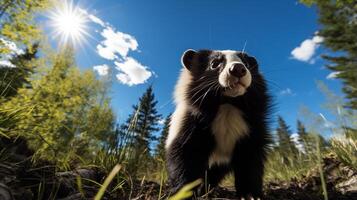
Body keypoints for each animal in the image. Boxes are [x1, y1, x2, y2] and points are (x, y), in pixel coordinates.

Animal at [165, 49, 272, 198]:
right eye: (214, 63)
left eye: (246, 63)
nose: (238, 69)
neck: (227, 104)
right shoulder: (188, 124)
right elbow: (185, 156)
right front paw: (184, 193)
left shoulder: (252, 128)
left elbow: (250, 161)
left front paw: (251, 195)